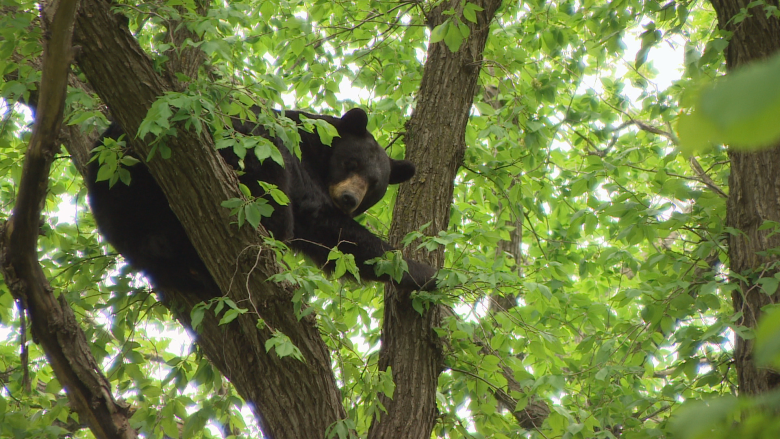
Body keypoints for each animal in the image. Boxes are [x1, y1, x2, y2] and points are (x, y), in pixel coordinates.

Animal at [87, 108, 438, 298]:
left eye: (373, 185)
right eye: (351, 164)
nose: (349, 199)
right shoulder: (300, 160)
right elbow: (322, 220)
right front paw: (421, 270)